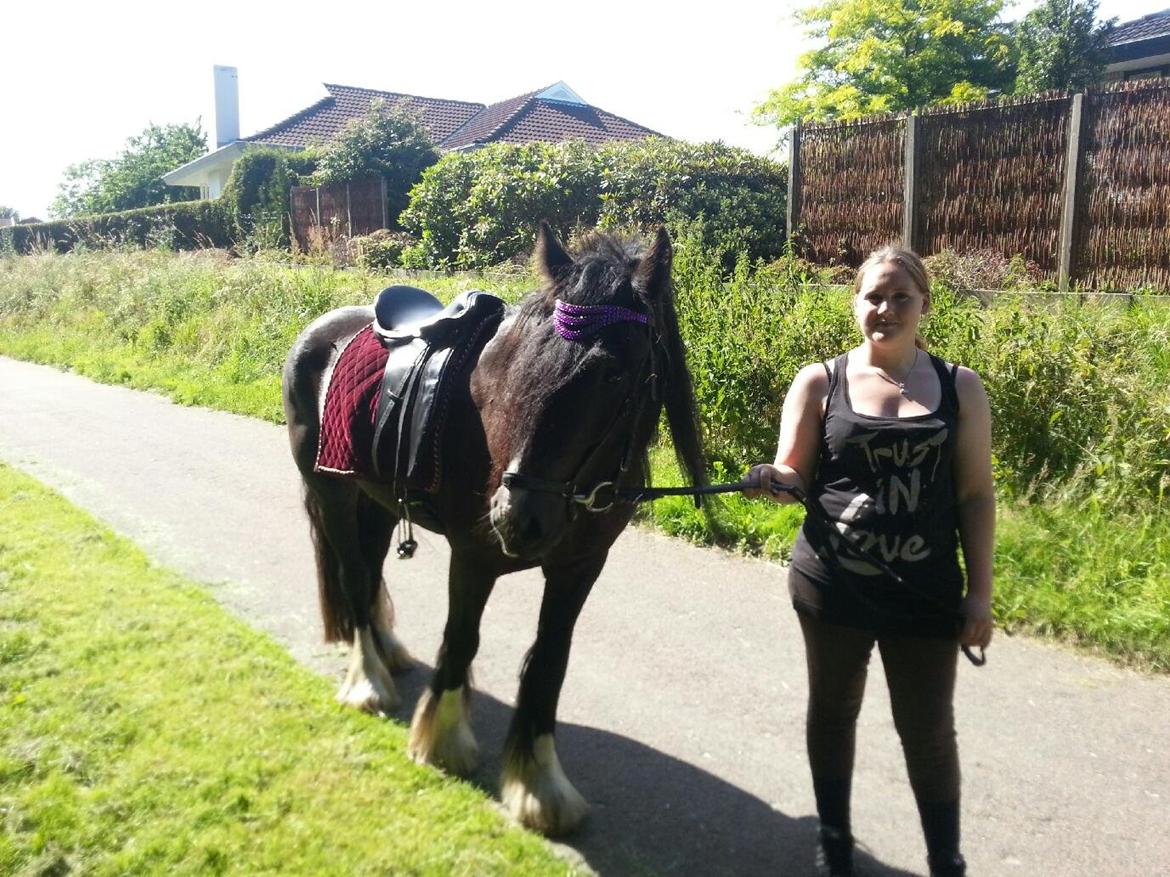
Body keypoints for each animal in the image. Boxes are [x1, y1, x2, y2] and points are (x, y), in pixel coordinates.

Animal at [283, 224, 702, 837]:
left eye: (616, 372)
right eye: (526, 362)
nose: (515, 516)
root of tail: (318, 331)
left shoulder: (579, 568)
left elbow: (550, 661)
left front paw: (540, 784)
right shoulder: (474, 556)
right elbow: (462, 637)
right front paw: (443, 741)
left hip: (374, 500)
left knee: (371, 566)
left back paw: (388, 652)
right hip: (331, 492)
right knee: (356, 579)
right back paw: (369, 682)